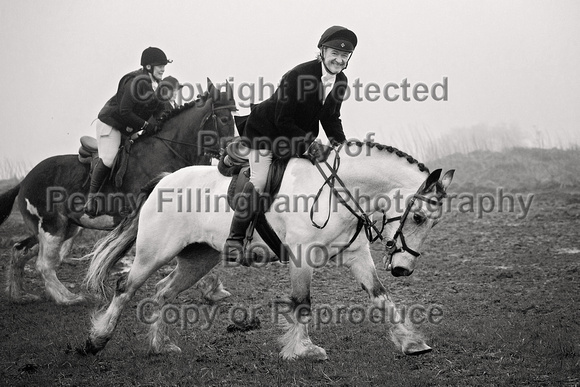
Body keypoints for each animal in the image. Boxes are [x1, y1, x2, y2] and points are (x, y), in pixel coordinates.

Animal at [0, 79, 238, 306]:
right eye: (225, 119)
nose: (232, 155)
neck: (169, 151)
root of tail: (25, 180)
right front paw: (210, 288)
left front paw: (212, 289)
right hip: (52, 226)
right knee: (43, 264)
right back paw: (67, 298)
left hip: (64, 228)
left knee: (20, 250)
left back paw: (19, 295)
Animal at [82, 141, 454, 360]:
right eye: (418, 217)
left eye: (431, 222)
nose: (403, 268)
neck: (339, 191)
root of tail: (164, 180)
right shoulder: (302, 256)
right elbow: (302, 302)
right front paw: (302, 350)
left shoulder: (357, 256)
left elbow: (381, 296)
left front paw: (410, 342)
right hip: (154, 252)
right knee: (125, 287)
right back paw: (97, 339)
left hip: (198, 258)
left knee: (162, 291)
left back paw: (160, 345)